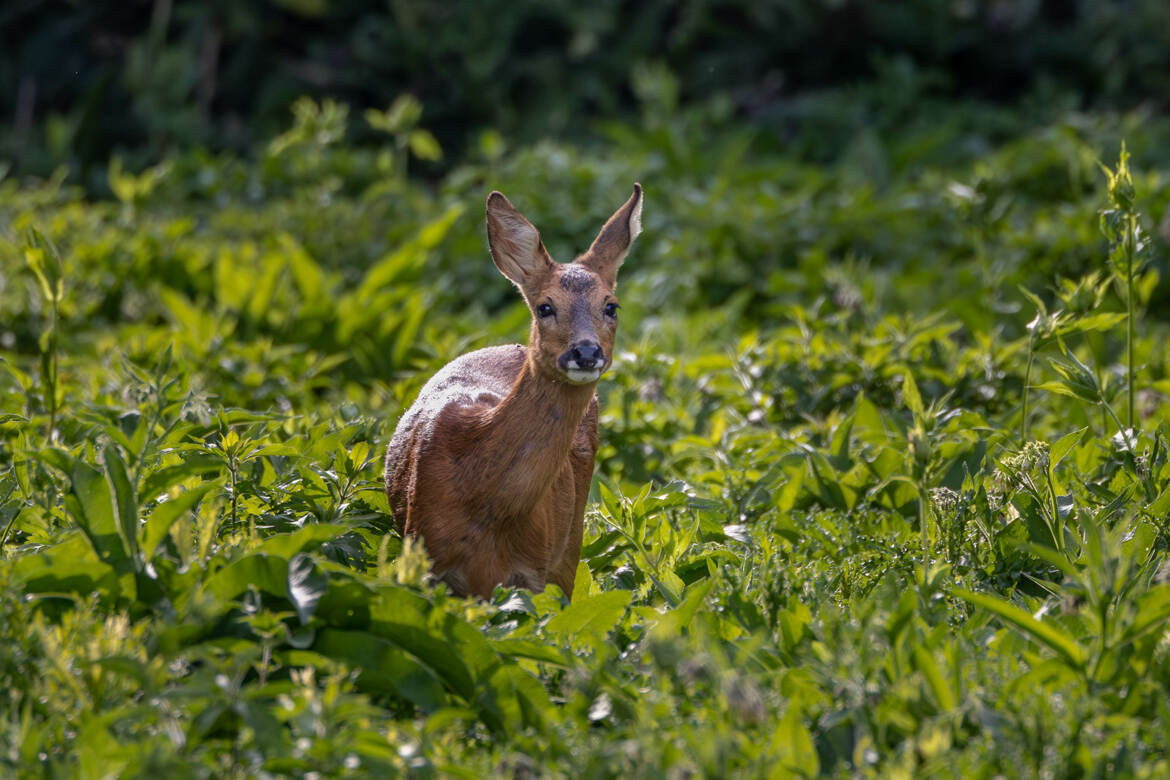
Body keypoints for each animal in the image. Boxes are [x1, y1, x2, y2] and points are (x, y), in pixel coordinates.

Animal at [381, 183, 641, 598]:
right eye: (545, 307)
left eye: (611, 307)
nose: (586, 352)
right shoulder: (423, 563)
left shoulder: (535, 573)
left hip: (570, 544)